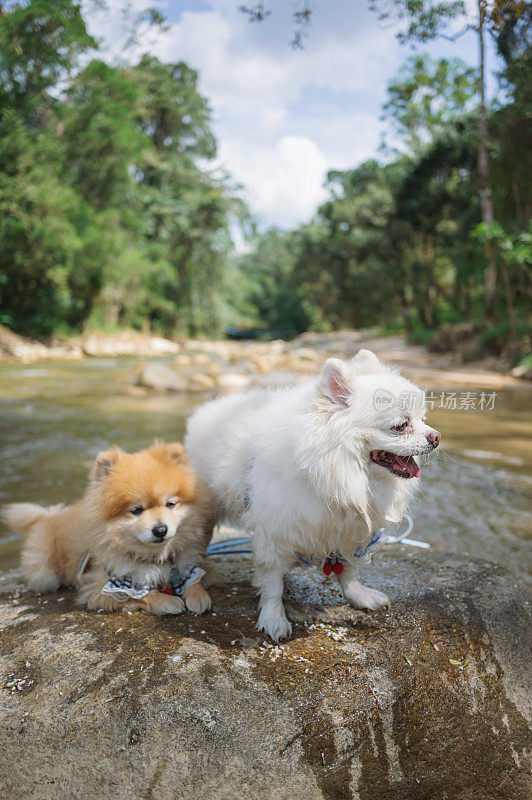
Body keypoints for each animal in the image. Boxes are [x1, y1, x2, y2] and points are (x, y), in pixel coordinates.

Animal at [2, 440, 214, 616]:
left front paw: (198, 596)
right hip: (45, 574)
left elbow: (196, 579)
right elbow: (140, 596)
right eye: (137, 510)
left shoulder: (187, 564)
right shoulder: (104, 587)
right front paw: (167, 602)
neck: (155, 557)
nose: (160, 530)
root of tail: (50, 515)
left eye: (171, 504)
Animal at [186, 348, 440, 636]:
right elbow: (272, 582)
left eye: (423, 419)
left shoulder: (343, 528)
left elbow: (347, 569)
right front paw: (273, 618)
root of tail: (206, 411)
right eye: (401, 425)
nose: (436, 437)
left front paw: (358, 595)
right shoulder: (274, 528)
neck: (337, 473)